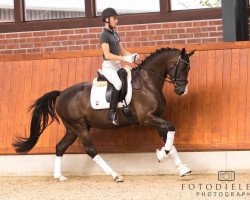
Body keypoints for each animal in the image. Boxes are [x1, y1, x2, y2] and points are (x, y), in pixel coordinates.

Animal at [11, 47, 195, 182]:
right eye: (182, 67)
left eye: (188, 68)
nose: (181, 90)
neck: (147, 83)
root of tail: (62, 93)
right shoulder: (147, 119)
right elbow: (171, 129)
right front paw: (160, 155)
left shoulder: (157, 117)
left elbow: (169, 139)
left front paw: (181, 168)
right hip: (79, 127)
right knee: (90, 150)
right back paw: (115, 175)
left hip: (72, 129)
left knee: (60, 147)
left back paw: (59, 176)